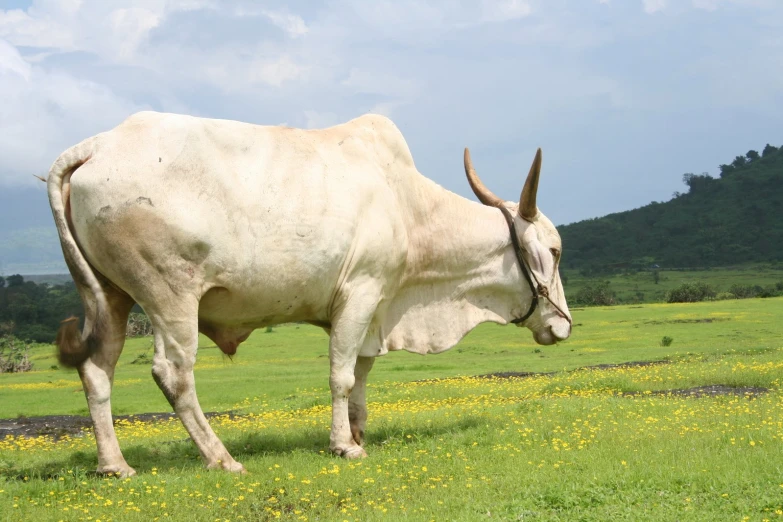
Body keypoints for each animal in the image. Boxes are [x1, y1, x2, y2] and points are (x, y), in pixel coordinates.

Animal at [46, 110, 572, 476]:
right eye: (555, 250)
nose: (563, 324)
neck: (408, 208)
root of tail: (97, 145)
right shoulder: (360, 293)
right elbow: (341, 376)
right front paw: (343, 446)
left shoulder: (375, 309)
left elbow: (361, 375)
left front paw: (358, 435)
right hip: (169, 295)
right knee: (173, 373)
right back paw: (222, 459)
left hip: (112, 296)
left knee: (97, 371)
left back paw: (115, 466)